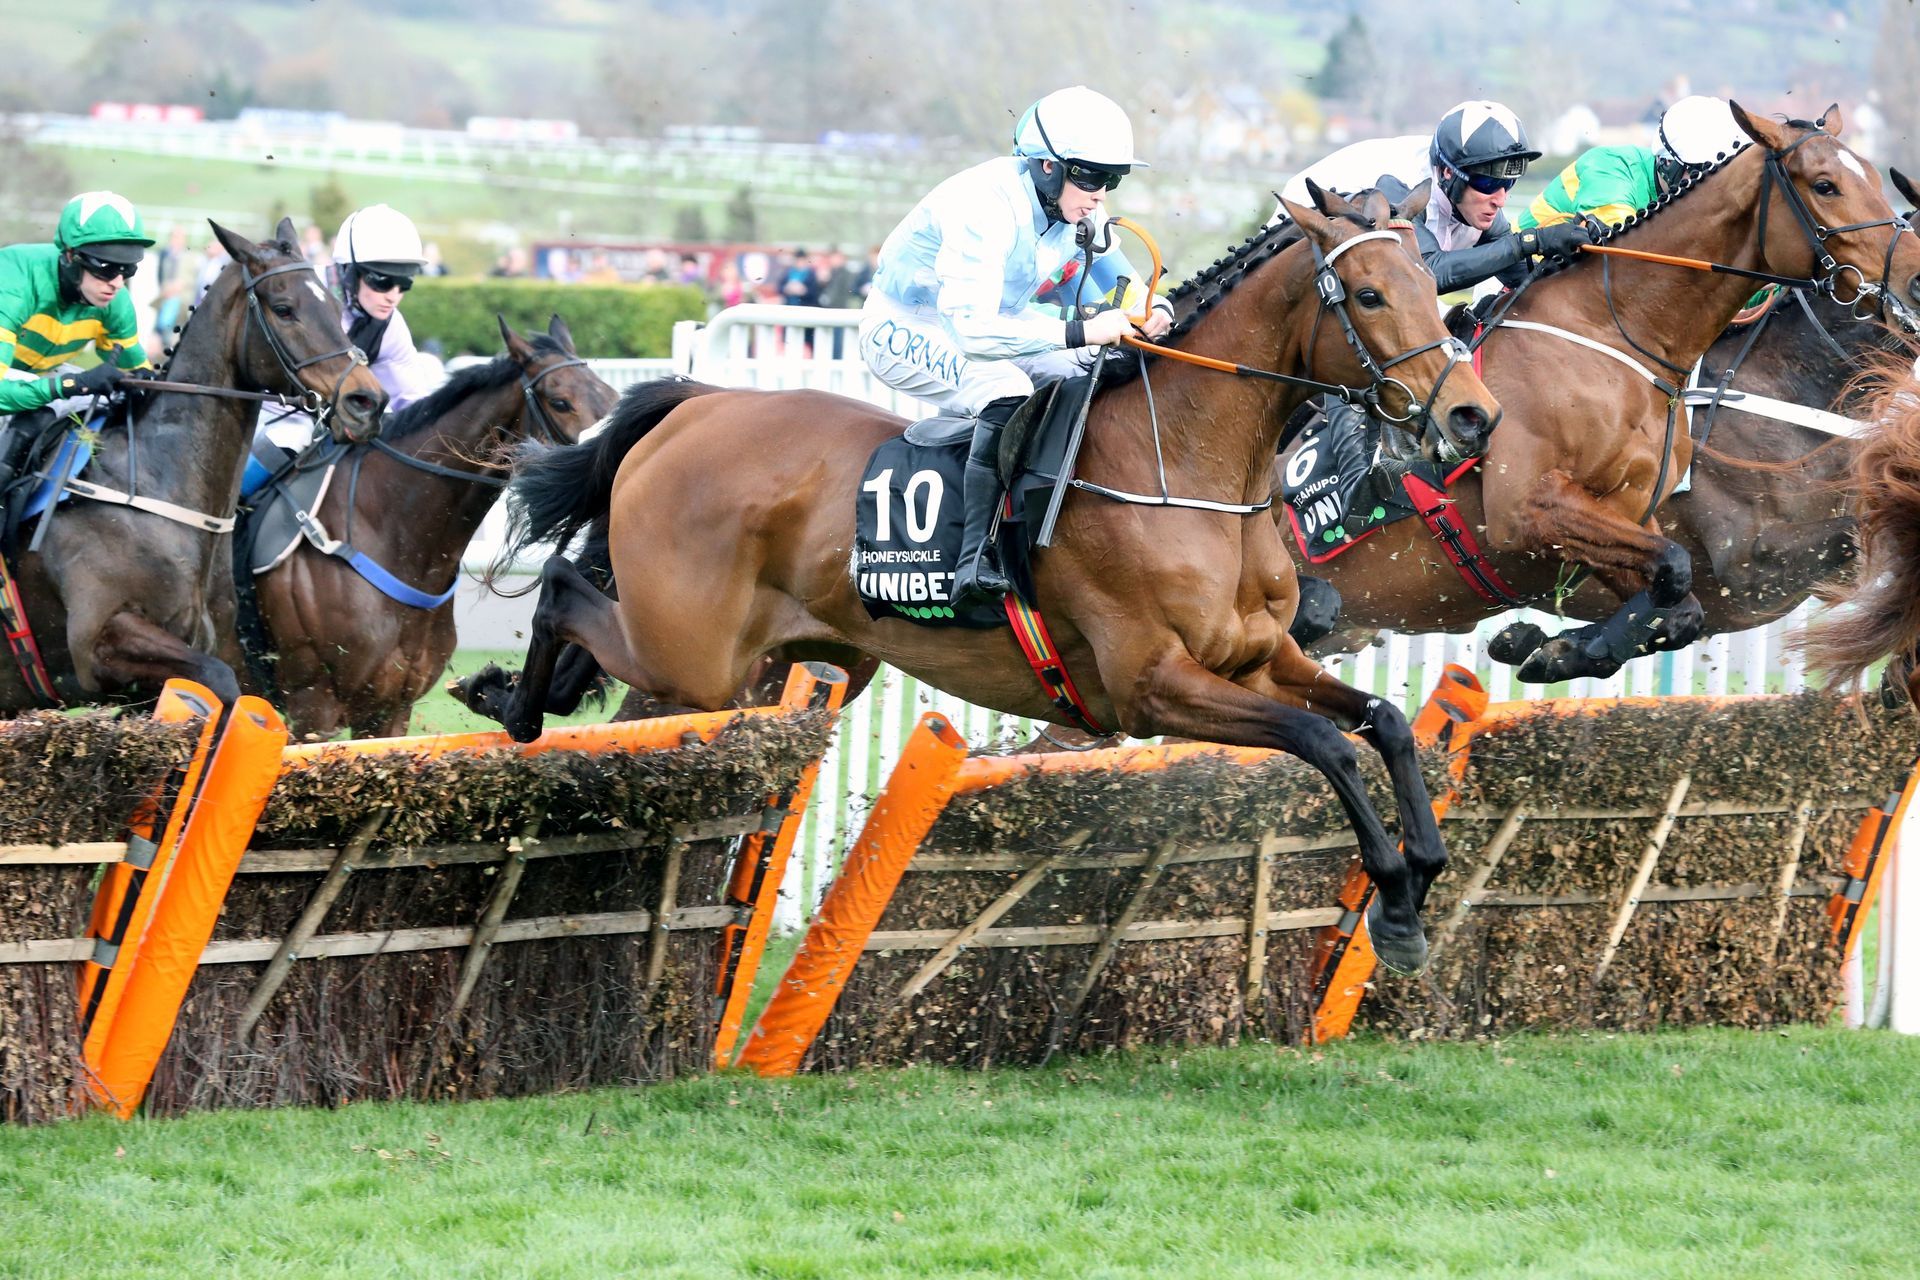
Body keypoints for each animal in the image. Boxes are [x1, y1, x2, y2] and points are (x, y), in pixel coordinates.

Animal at [0, 219, 385, 713]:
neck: (155, 485)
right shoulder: (101, 640)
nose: (368, 402)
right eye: (284, 309)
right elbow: (220, 683)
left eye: (337, 306)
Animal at [449, 184, 1500, 976]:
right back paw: (515, 707)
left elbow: (1387, 723)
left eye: (1428, 276)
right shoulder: (1154, 685)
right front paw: (1394, 895)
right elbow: (1324, 743)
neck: (1187, 468)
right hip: (693, 648)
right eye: (1367, 293)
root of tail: (694, 404)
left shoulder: (1262, 658)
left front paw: (1420, 880)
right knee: (562, 591)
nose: (1473, 415)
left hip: (777, 662)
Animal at [1281, 106, 1920, 685]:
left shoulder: (1624, 523)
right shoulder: (1539, 511)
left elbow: (1678, 600)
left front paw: (1551, 648)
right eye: (1826, 184)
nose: (1914, 280)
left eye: (1872, 175)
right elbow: (1692, 569)